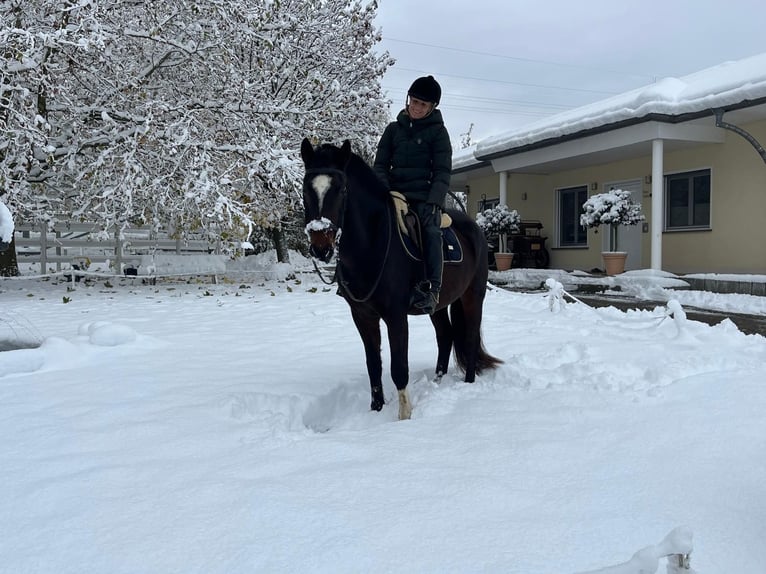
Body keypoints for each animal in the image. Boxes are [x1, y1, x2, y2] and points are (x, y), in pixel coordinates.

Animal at [300, 137, 504, 420]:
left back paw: (468, 383)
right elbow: (373, 364)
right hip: (437, 305)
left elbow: (399, 367)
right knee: (446, 336)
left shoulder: (395, 316)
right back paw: (437, 382)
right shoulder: (362, 316)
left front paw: (404, 417)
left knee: (471, 336)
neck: (372, 244)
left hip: (473, 296)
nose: (321, 246)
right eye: (305, 188)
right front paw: (375, 409)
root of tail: (476, 229)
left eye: (341, 189)